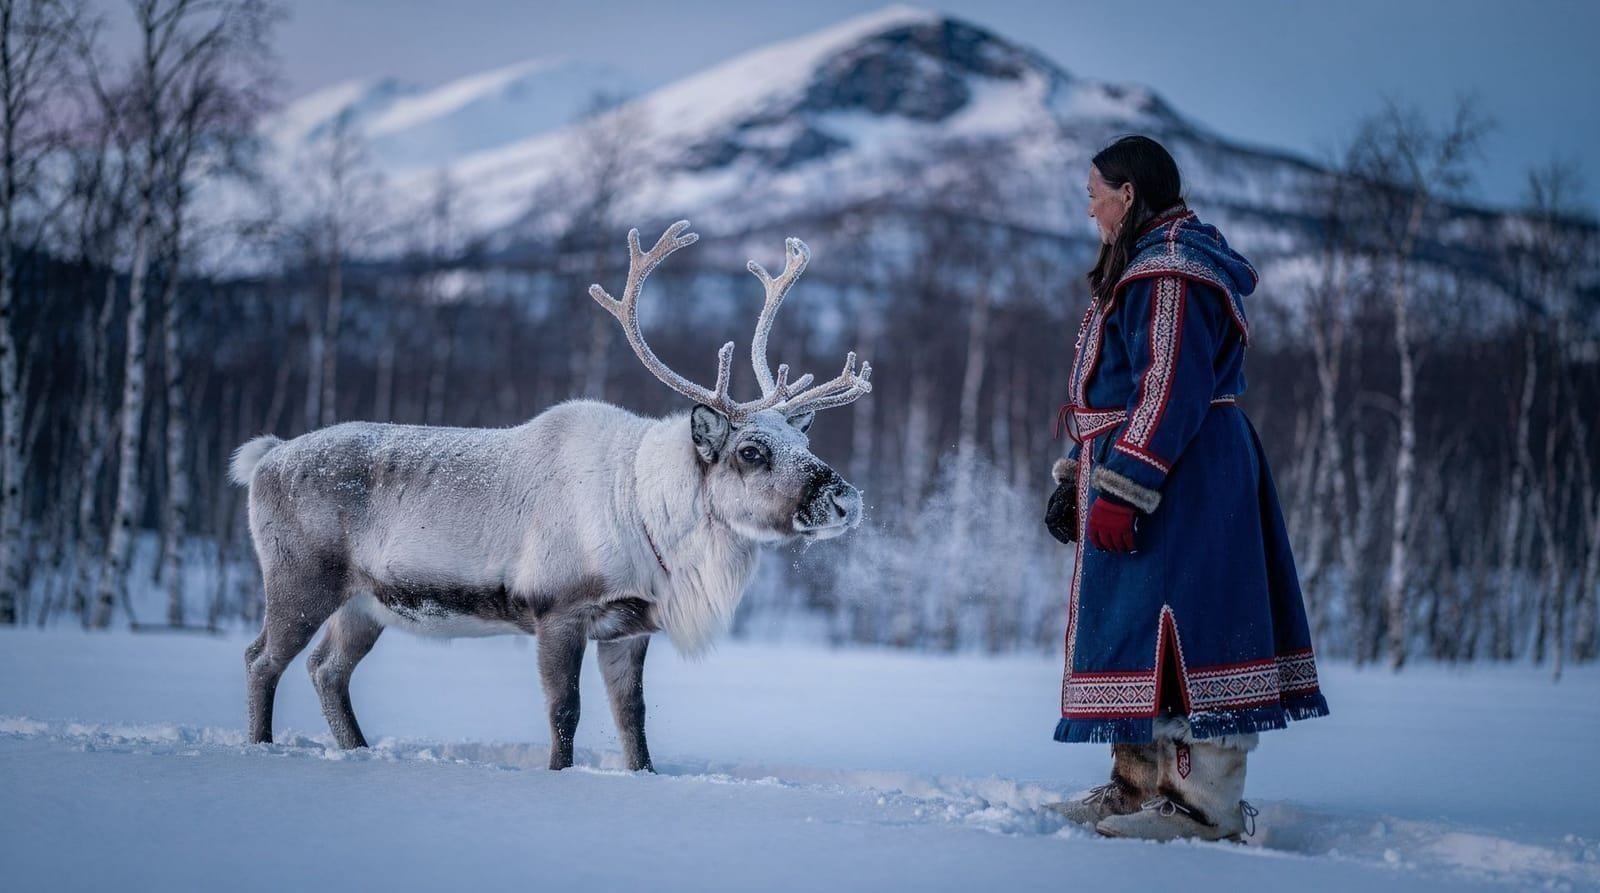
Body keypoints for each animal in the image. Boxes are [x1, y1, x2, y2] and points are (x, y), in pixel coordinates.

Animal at [229, 221, 871, 771]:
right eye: (752, 451)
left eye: (801, 439)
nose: (846, 500)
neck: (649, 518)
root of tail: (265, 457)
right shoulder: (557, 611)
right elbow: (565, 713)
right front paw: (559, 777)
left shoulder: (630, 626)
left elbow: (632, 721)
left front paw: (644, 775)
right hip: (301, 579)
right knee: (261, 659)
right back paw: (259, 747)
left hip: (363, 603)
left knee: (327, 669)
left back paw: (357, 752)